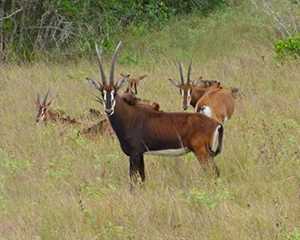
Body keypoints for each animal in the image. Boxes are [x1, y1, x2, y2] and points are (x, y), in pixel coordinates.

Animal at [86, 40, 223, 188]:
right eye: (102, 93)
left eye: (114, 92)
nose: (108, 110)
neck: (128, 117)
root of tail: (216, 124)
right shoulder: (140, 154)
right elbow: (142, 179)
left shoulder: (134, 154)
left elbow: (133, 180)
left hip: (201, 152)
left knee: (213, 173)